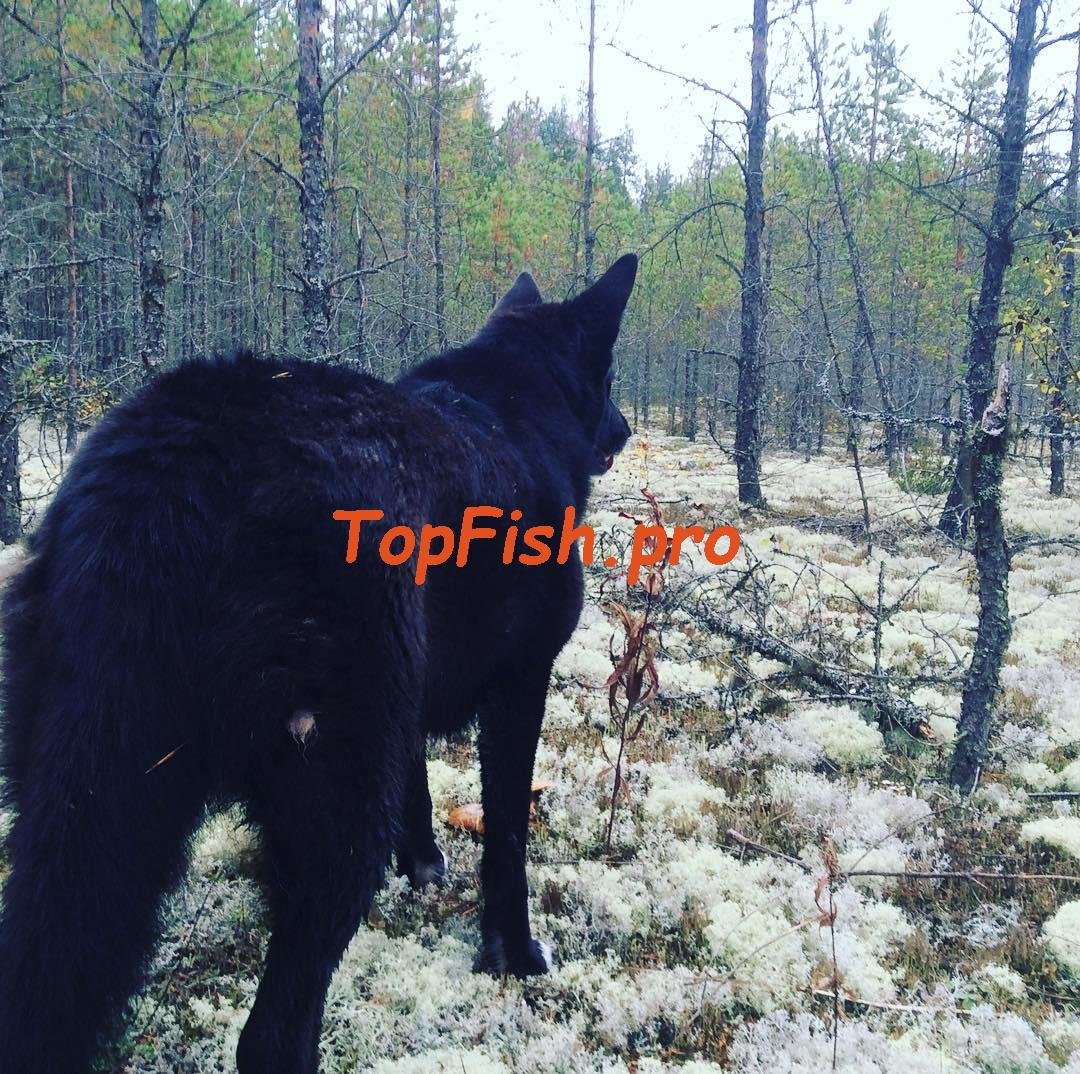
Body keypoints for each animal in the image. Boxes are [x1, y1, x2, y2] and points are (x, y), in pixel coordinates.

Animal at [0, 254, 637, 1073]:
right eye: (610, 378)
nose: (626, 427)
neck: (513, 399)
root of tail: (174, 475)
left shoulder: (415, 696)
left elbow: (419, 792)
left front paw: (422, 864)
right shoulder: (520, 685)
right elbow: (507, 838)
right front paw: (516, 954)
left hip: (81, 789)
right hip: (332, 795)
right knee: (273, 1035)